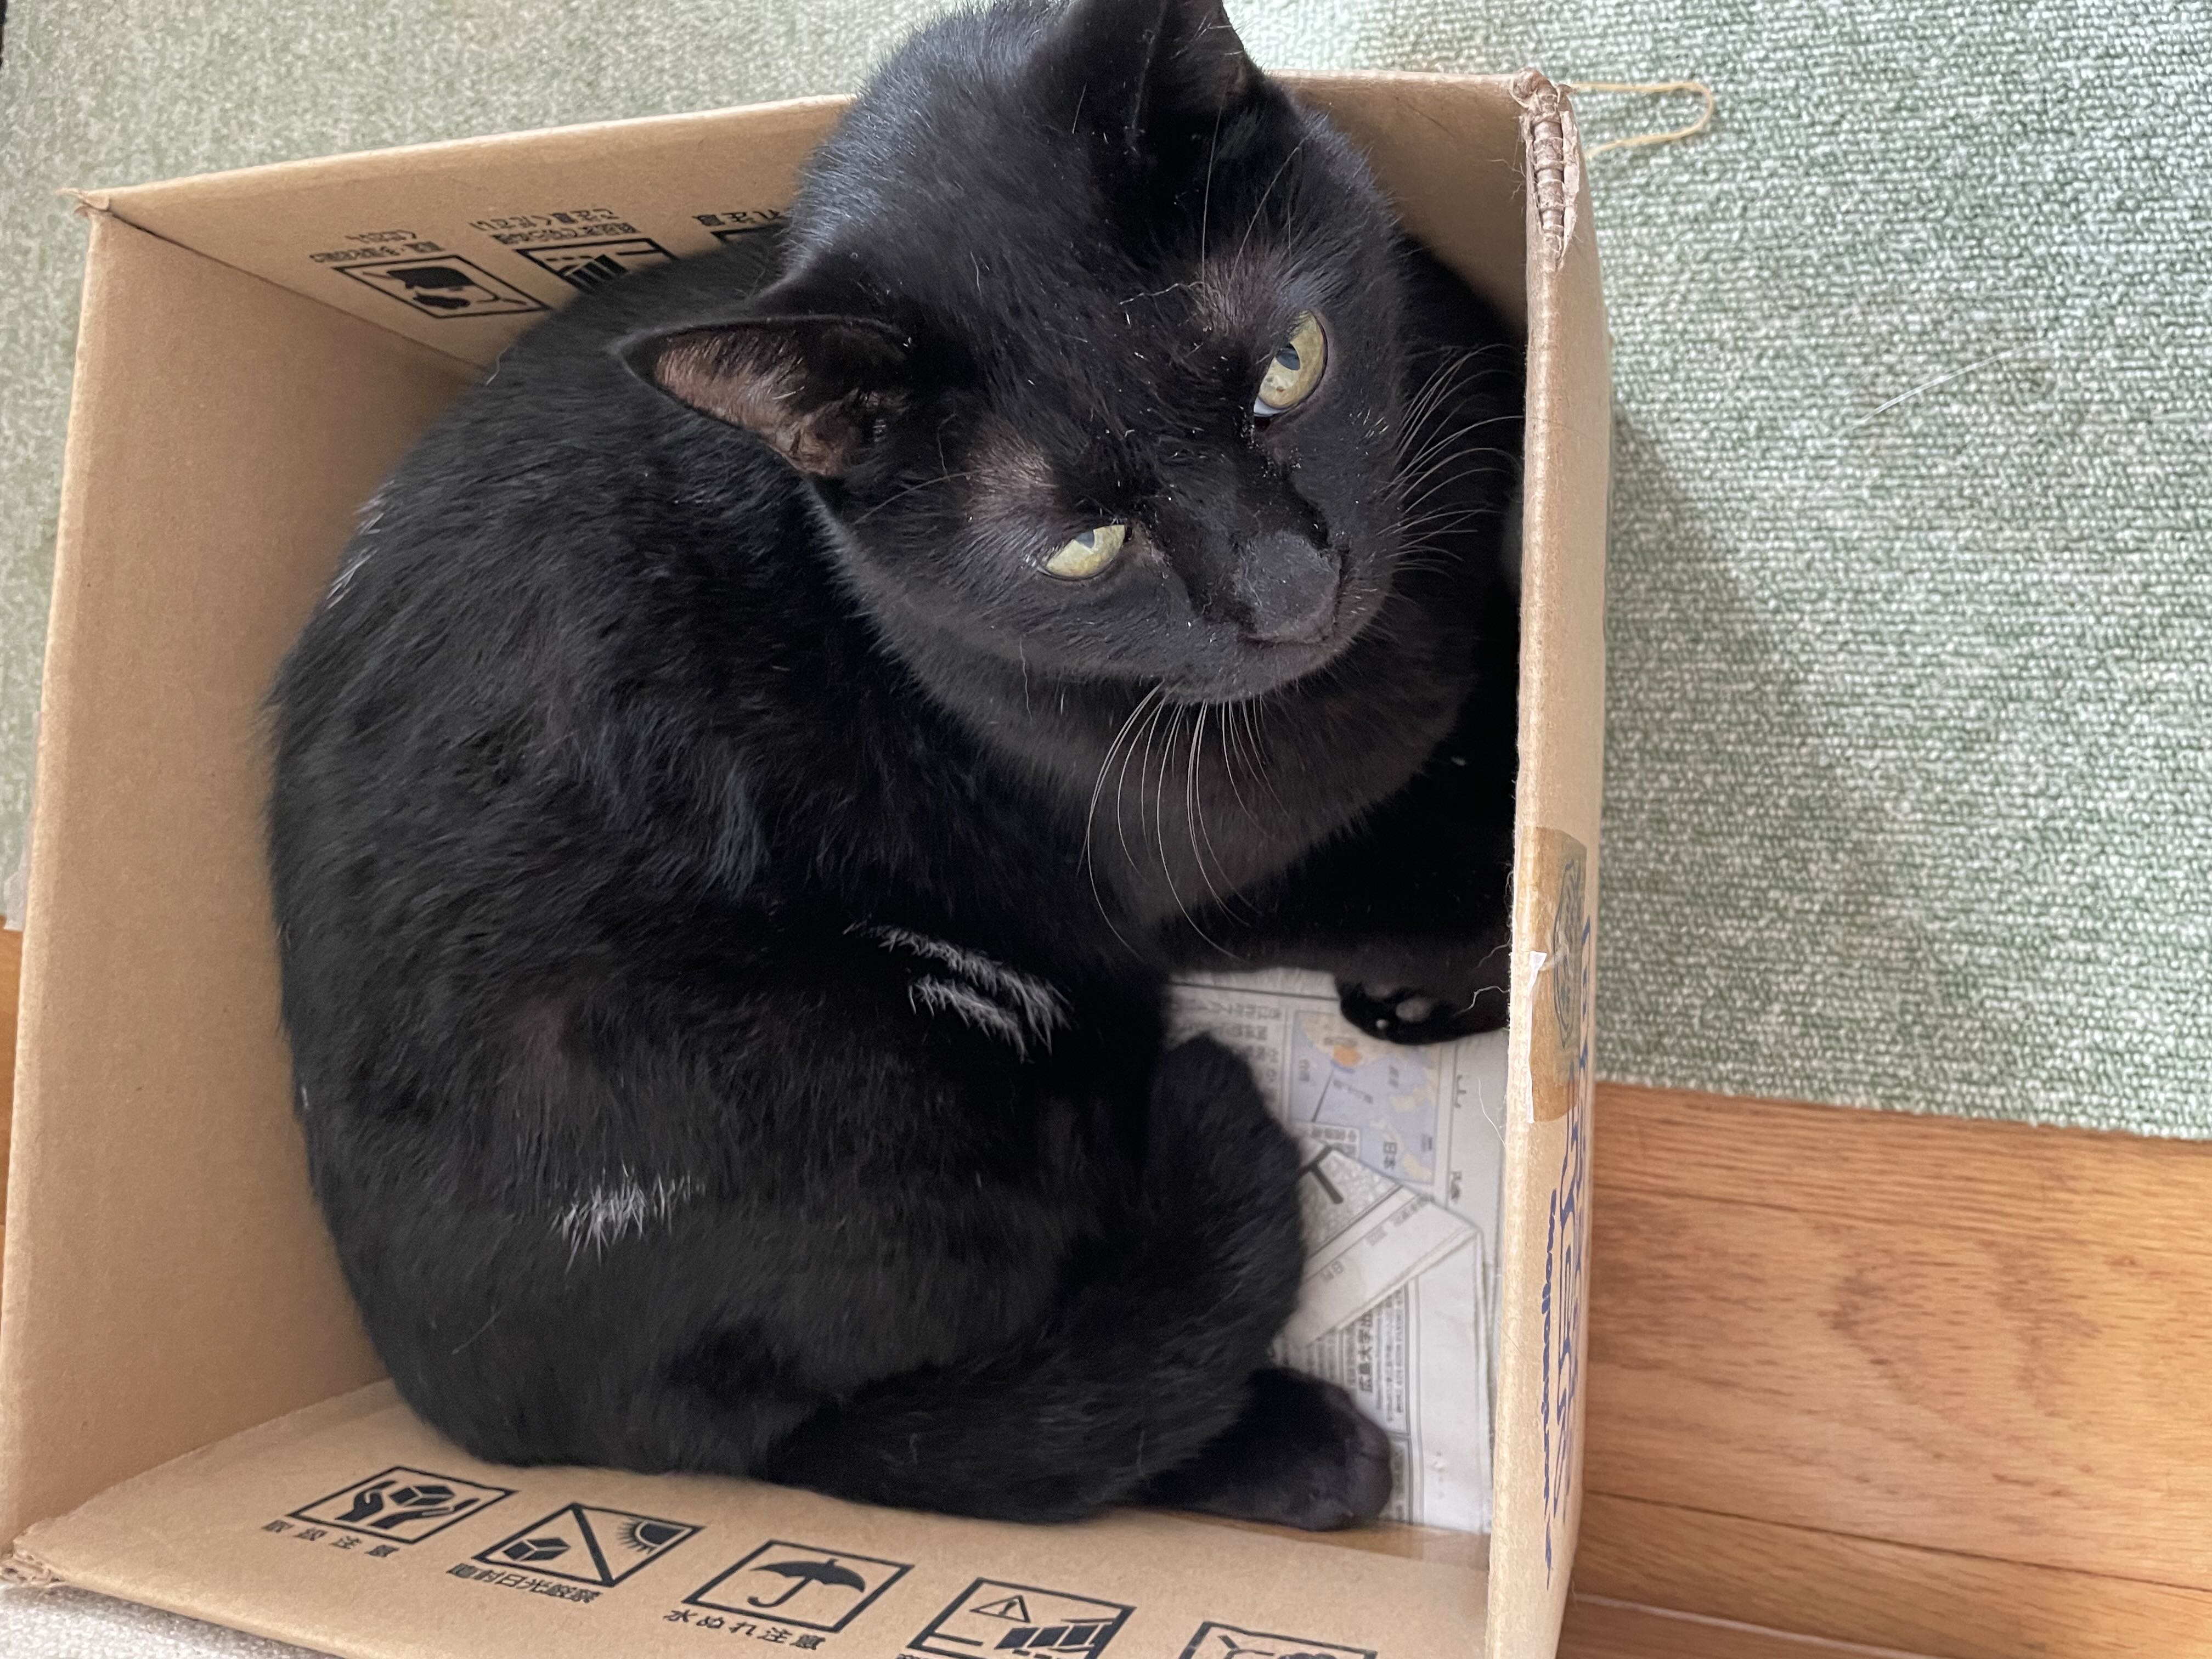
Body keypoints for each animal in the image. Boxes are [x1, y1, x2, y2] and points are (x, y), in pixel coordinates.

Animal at [267, 0, 1521, 1532]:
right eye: (1082, 545)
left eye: (1292, 366)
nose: (1288, 592)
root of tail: (514, 1421)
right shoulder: (1200, 885)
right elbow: (1441, 870)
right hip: (927, 1077)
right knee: (968, 1427)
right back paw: (1306, 1451)